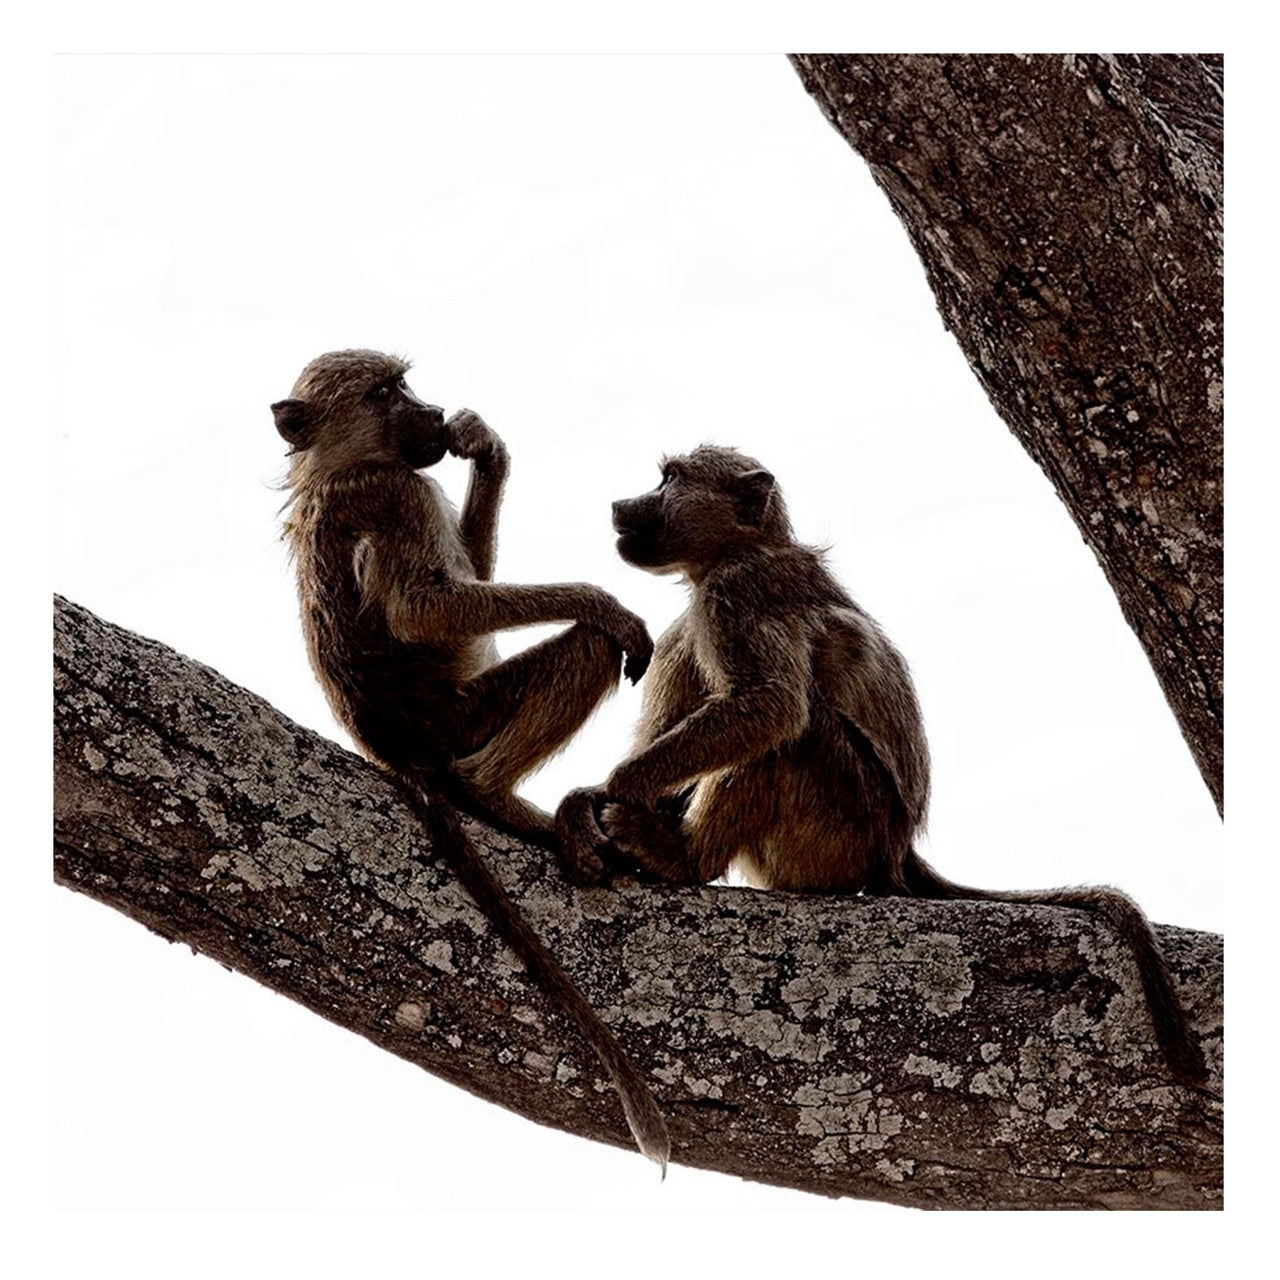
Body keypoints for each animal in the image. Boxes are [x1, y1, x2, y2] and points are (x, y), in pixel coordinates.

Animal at [272, 349, 668, 1167]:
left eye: (406, 384)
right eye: (387, 392)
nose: (432, 412)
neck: (337, 466)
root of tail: (405, 751)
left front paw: (484, 447)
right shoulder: (398, 494)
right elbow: (428, 608)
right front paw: (601, 599)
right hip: (462, 722)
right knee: (589, 646)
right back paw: (495, 795)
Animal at [559, 444, 1206, 1086]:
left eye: (669, 480)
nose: (620, 505)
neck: (744, 548)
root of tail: (897, 850)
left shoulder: (737, 597)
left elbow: (769, 706)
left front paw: (619, 789)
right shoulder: (699, 615)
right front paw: (592, 801)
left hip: (842, 830)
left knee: (800, 734)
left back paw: (683, 858)